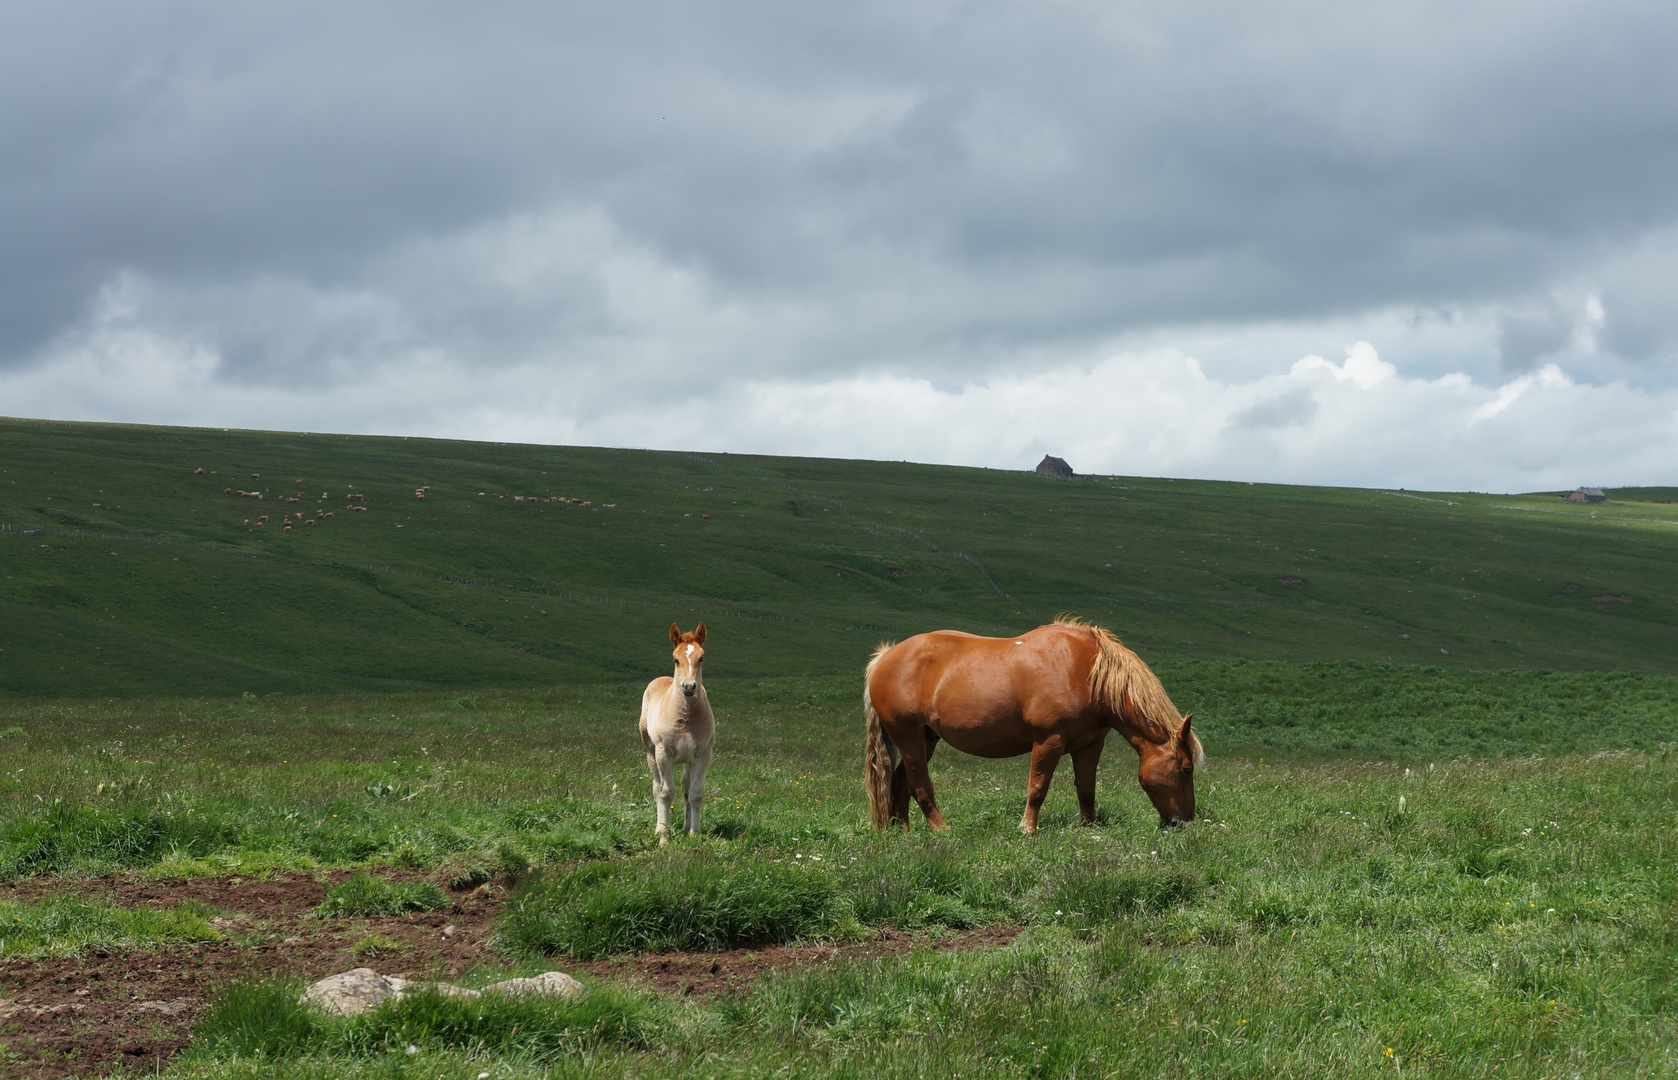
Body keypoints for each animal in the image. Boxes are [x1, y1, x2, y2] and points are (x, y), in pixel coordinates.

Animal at [637, 623, 711, 845]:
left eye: (701, 658)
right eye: (675, 659)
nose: (689, 687)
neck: (685, 717)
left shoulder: (703, 754)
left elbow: (695, 793)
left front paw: (695, 833)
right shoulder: (664, 754)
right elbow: (666, 793)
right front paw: (663, 836)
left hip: (688, 760)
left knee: (686, 788)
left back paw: (686, 827)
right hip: (650, 752)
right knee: (656, 786)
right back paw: (657, 828)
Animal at [872, 617, 1201, 835]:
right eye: (1187, 769)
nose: (1185, 822)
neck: (1088, 674)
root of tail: (884, 658)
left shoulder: (1090, 745)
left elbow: (1087, 789)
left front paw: (1089, 828)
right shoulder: (1048, 741)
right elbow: (1038, 787)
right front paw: (1027, 829)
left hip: (926, 738)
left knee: (900, 782)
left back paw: (903, 832)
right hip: (908, 736)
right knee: (918, 784)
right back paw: (942, 829)